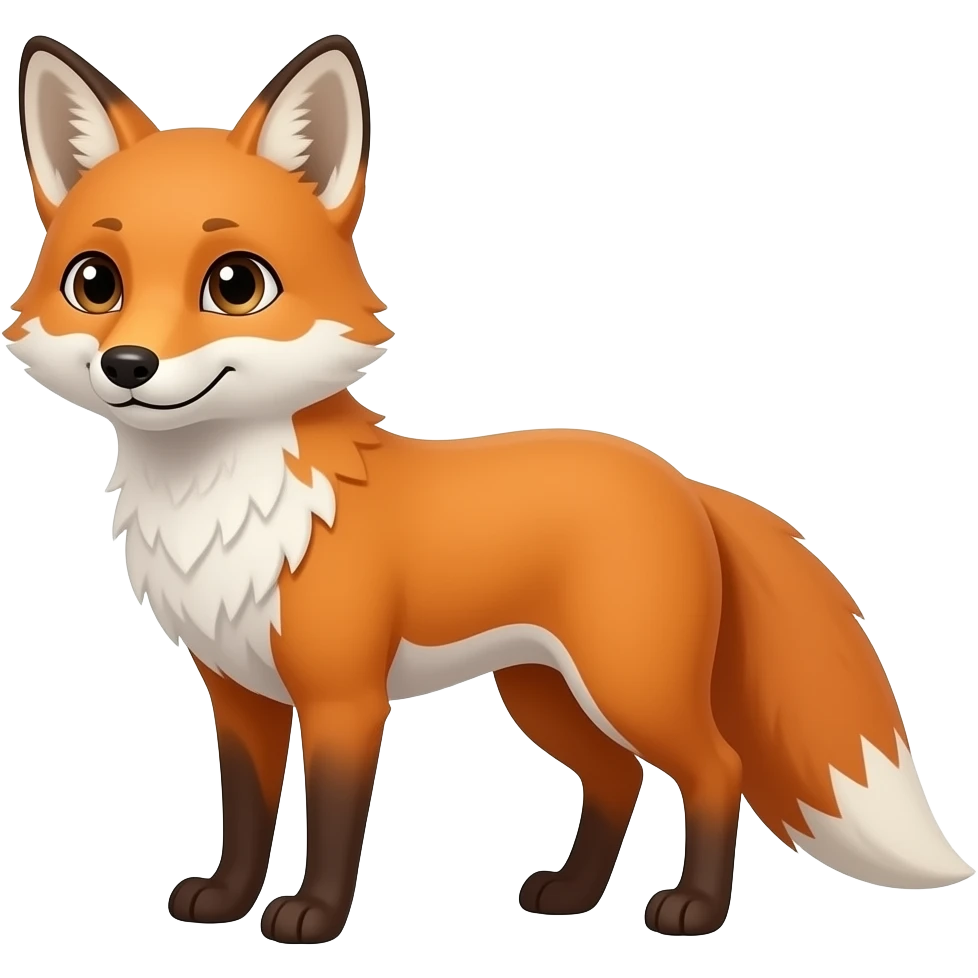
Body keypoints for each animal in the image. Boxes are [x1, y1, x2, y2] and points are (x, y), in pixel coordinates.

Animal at [9, 33, 974, 945]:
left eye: (235, 283)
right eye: (94, 282)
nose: (129, 366)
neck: (226, 506)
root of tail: (678, 477)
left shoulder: (343, 697)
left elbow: (332, 822)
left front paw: (313, 917)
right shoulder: (238, 693)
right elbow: (245, 815)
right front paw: (224, 900)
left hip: (629, 684)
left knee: (715, 768)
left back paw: (694, 908)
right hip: (544, 693)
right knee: (617, 777)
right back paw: (573, 896)